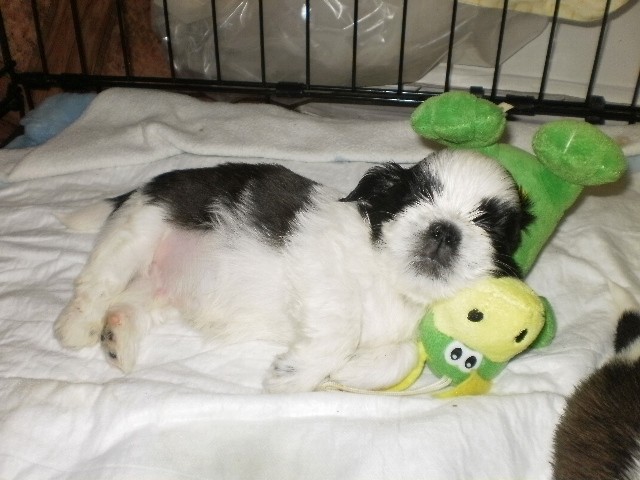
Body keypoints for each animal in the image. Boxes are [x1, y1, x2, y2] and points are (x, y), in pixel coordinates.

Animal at [55, 151, 532, 394]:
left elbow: (402, 357)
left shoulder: (405, 336)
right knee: (97, 284)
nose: (445, 229)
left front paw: (343, 374)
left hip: (159, 288)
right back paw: (78, 326)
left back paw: (116, 337)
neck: (388, 275)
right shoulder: (322, 270)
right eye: (415, 199)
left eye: (489, 224)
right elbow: (343, 329)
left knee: (128, 302)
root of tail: (145, 185)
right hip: (139, 230)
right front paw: (295, 376)